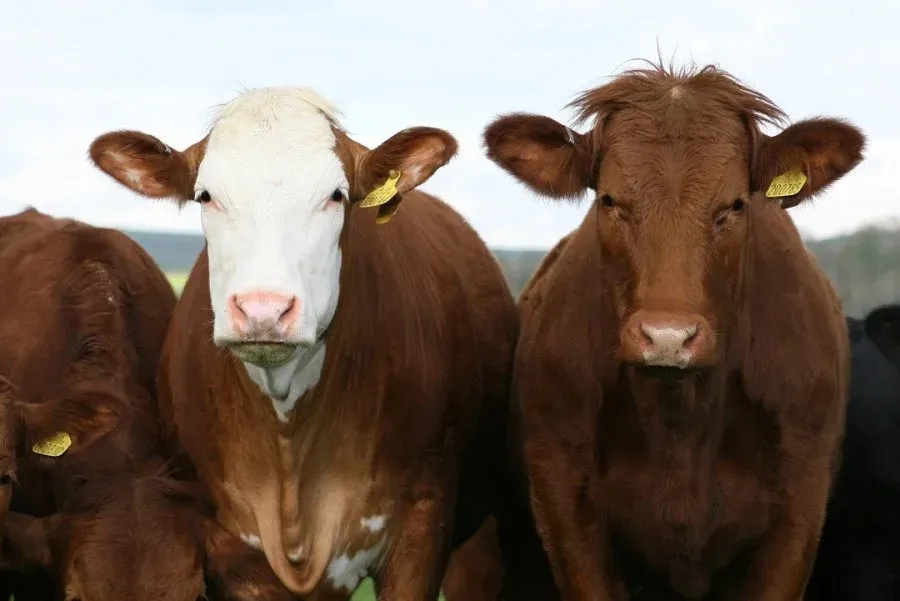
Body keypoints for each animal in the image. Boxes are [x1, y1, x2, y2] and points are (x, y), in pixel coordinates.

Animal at [482, 60, 864, 600]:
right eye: (608, 200)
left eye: (735, 205)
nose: (668, 337)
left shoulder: (800, 505)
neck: (680, 423)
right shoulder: (562, 501)